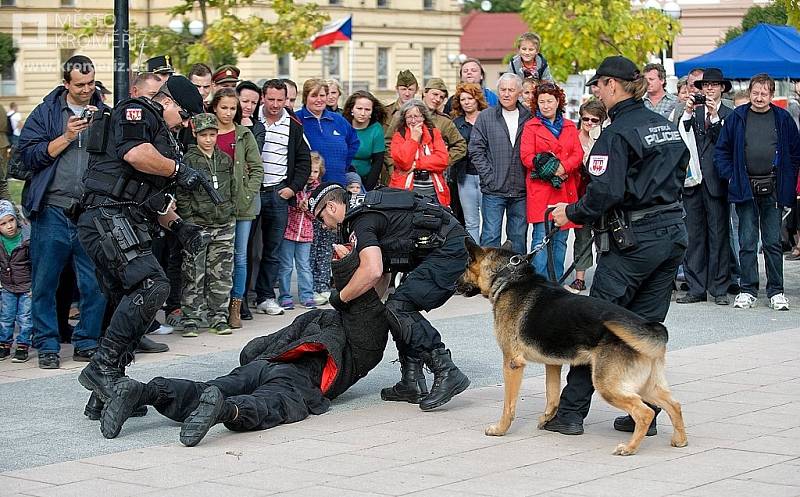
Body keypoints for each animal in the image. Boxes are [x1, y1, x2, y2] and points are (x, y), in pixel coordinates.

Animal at [456, 242, 688, 456]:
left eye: (466, 265)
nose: (454, 284)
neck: (509, 277)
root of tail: (650, 327)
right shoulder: (552, 363)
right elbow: (552, 396)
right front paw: (548, 418)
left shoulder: (512, 364)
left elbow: (509, 405)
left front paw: (500, 429)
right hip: (646, 385)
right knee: (674, 405)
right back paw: (680, 440)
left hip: (608, 385)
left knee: (645, 413)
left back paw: (629, 448)